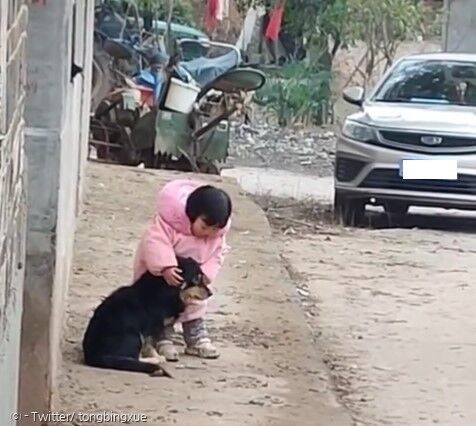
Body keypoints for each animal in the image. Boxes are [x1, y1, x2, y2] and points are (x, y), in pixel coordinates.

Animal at [82, 256, 212, 376]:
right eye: (196, 278)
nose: (211, 293)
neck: (166, 288)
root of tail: (93, 354)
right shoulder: (151, 327)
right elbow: (150, 345)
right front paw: (157, 356)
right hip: (134, 336)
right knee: (132, 358)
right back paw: (154, 361)